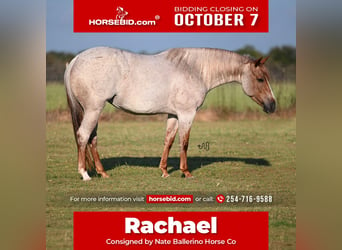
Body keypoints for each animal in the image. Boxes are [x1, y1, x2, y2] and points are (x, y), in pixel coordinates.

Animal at [64, 46, 276, 180]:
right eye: (260, 79)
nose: (272, 105)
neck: (194, 69)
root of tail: (75, 60)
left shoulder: (173, 115)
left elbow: (169, 140)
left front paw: (165, 171)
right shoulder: (187, 114)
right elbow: (184, 142)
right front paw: (186, 172)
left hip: (94, 111)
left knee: (92, 138)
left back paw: (102, 173)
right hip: (93, 109)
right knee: (83, 135)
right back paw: (85, 174)